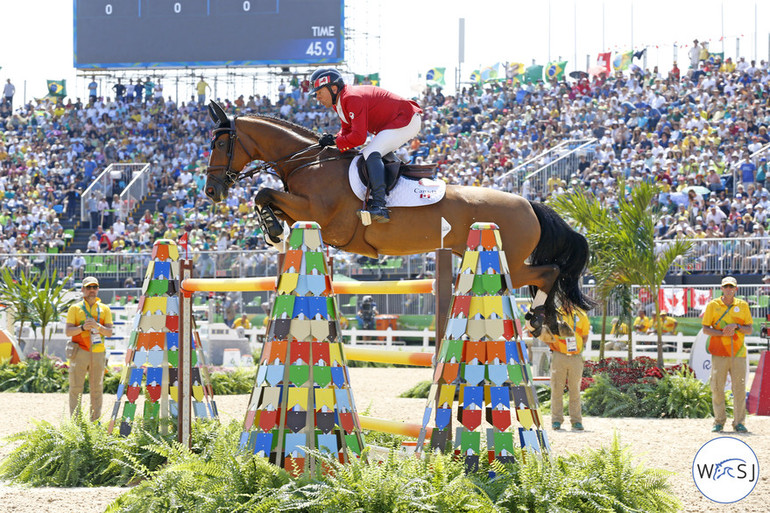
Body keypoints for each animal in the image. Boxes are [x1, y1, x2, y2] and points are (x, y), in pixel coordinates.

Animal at [202, 100, 588, 334]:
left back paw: (539, 318)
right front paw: (274, 229)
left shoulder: (322, 217)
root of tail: (530, 204)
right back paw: (545, 320)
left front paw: (271, 228)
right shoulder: (306, 213)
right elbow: (269, 198)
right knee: (547, 274)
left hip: (511, 261)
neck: (307, 161)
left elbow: (262, 193)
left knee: (548, 272)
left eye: (219, 144)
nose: (210, 191)